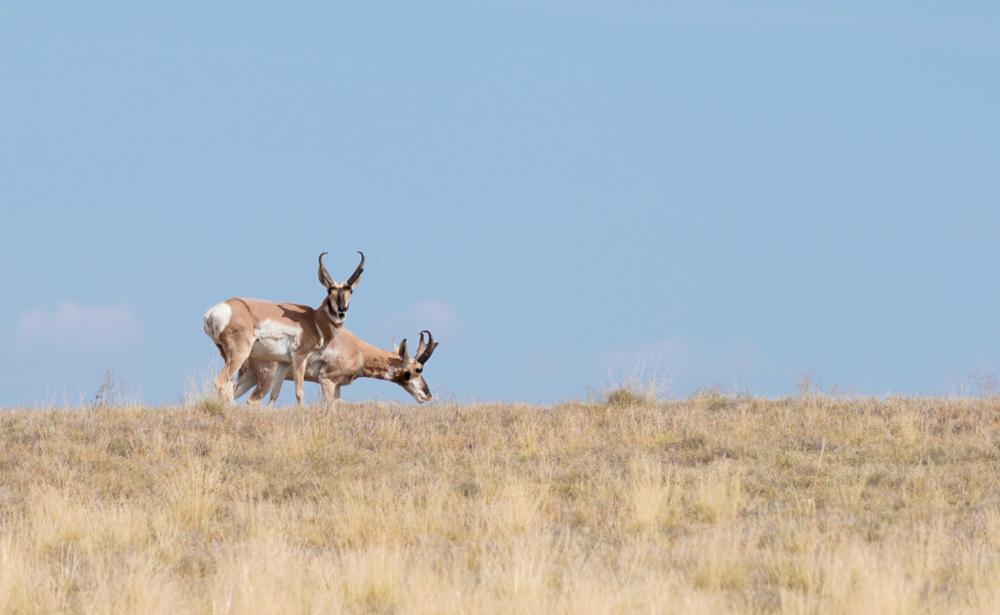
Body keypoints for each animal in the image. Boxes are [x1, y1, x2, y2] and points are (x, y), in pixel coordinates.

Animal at [201, 250, 366, 404]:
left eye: (350, 290)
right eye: (329, 290)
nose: (341, 310)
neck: (313, 319)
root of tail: (214, 311)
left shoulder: (284, 363)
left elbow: (275, 394)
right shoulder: (300, 357)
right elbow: (299, 392)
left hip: (228, 356)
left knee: (230, 386)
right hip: (239, 354)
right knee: (222, 383)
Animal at [236, 330, 440, 406]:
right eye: (417, 369)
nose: (428, 395)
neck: (357, 349)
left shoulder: (338, 387)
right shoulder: (326, 381)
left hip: (250, 377)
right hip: (266, 379)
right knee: (251, 401)